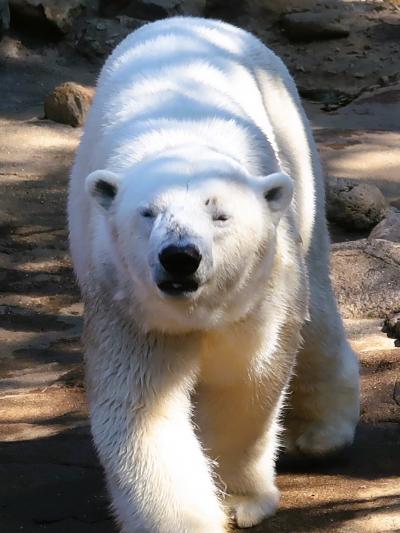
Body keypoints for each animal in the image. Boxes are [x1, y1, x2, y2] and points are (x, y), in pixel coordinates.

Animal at [68, 16, 360, 532]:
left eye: (219, 214)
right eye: (148, 212)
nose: (180, 257)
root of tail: (194, 18)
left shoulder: (261, 292)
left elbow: (244, 381)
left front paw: (240, 501)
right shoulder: (127, 303)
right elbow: (144, 408)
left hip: (295, 147)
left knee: (319, 310)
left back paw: (320, 433)